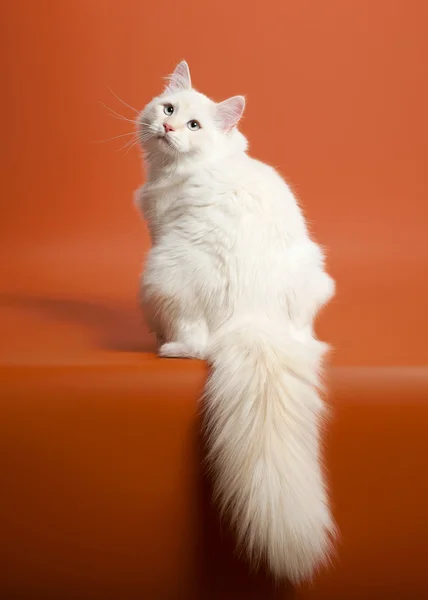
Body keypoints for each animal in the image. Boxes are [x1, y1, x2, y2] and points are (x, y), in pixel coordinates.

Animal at [135, 61, 336, 580]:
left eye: (194, 126)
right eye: (168, 109)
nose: (168, 129)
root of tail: (252, 322)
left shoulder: (158, 226)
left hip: (158, 272)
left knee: (194, 346)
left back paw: (164, 344)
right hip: (313, 275)